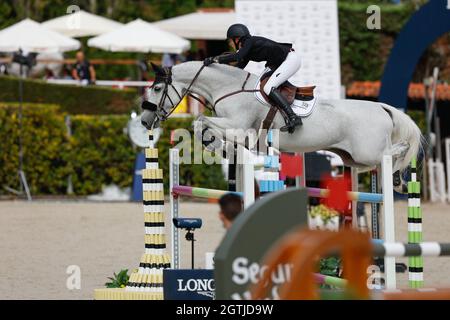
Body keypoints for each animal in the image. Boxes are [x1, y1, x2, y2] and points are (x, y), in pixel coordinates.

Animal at [141, 61, 422, 189]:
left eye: (157, 89)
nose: (144, 121)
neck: (227, 88)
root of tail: (382, 108)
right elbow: (204, 125)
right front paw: (221, 148)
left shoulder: (238, 125)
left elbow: (201, 122)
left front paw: (216, 145)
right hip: (353, 158)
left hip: (367, 152)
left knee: (393, 152)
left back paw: (399, 169)